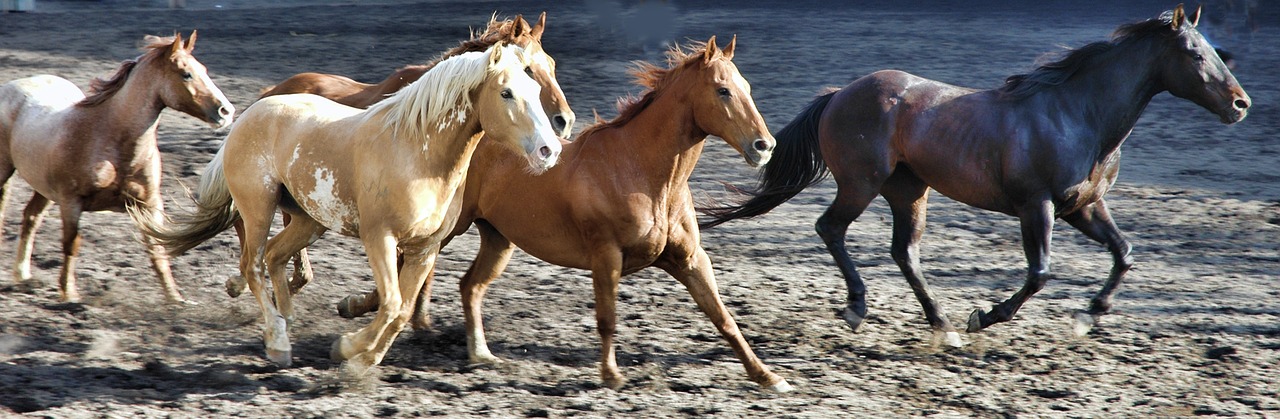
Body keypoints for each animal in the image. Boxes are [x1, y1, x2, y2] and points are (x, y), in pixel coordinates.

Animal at [0, 31, 235, 303]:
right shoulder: (71, 202)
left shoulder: (149, 204)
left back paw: (23, 275)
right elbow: (71, 244)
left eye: (204, 69)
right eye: (186, 73)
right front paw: (69, 293)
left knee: (30, 217)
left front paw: (175, 298)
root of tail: (16, 84)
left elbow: (157, 249)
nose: (227, 111)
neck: (111, 139)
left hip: (44, 187)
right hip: (6, 173)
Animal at [131, 42, 565, 369]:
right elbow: (391, 303)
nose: (550, 150)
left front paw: (361, 357)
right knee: (252, 266)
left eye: (535, 91)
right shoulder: (380, 239)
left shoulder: (425, 248)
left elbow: (402, 311)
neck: (417, 152)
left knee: (275, 256)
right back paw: (278, 342)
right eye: (506, 93)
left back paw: (287, 322)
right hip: (259, 208)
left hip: (308, 220)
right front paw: (349, 349)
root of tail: (248, 114)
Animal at [332, 36, 788, 394]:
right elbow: (607, 318)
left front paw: (767, 376)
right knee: (405, 270)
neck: (640, 170)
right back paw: (354, 312)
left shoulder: (690, 259)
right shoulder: (606, 255)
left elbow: (724, 318)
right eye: (722, 90)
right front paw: (611, 375)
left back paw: (480, 354)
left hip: (498, 238)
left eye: (746, 86)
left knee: (468, 285)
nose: (765, 145)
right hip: (449, 229)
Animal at [701, 4, 1249, 345]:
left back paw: (942, 325)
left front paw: (1087, 316)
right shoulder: (1036, 206)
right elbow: (1039, 273)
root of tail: (838, 95)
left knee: (904, 253)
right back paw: (861, 308)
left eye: (1217, 51)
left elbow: (1124, 254)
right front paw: (985, 317)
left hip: (909, 191)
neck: (1078, 114)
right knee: (831, 228)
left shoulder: (1084, 206)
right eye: (1195, 54)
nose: (1241, 105)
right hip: (862, 183)